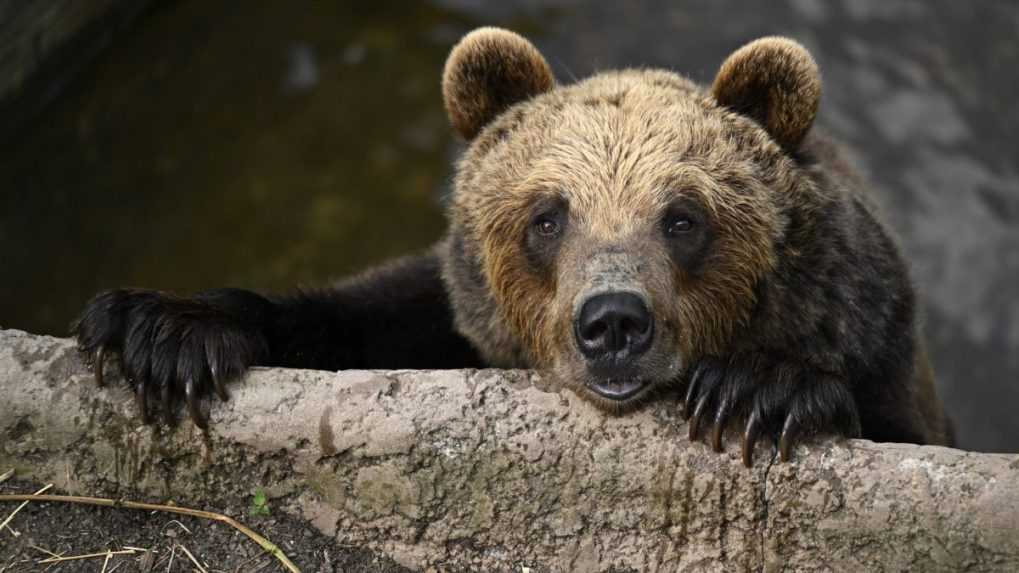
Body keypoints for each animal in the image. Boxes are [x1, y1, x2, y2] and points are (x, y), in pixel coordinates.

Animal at [75, 25, 949, 464]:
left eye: (682, 218)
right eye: (546, 217)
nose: (613, 322)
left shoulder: (869, 333)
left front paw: (756, 388)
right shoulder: (448, 312)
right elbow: (340, 315)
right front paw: (162, 330)